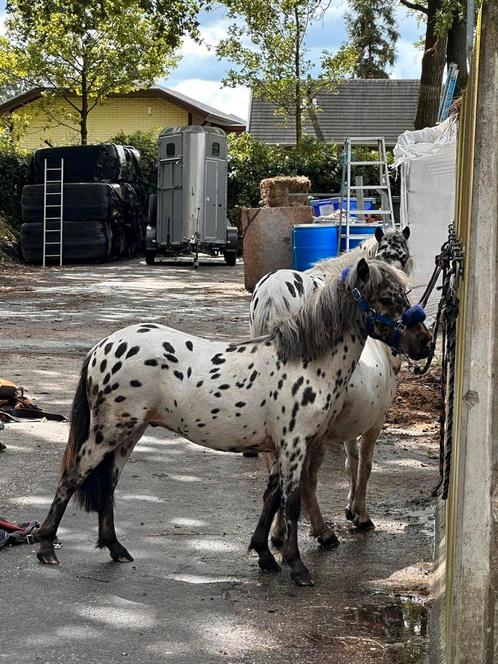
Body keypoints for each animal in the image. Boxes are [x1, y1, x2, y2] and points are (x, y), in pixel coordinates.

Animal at [35, 256, 432, 584]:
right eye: (387, 298)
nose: (425, 342)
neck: (306, 361)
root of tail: (102, 347)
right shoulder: (295, 446)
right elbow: (290, 502)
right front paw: (297, 566)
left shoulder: (283, 447)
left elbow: (270, 498)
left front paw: (265, 556)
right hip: (109, 430)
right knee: (72, 476)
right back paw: (46, 548)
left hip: (129, 432)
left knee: (109, 485)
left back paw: (116, 549)